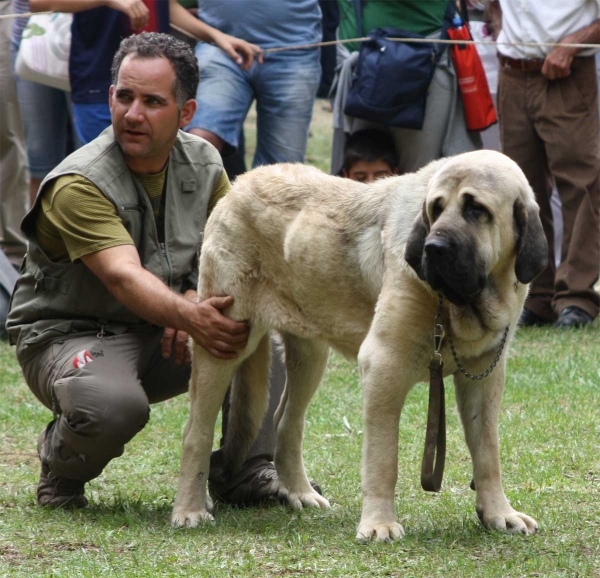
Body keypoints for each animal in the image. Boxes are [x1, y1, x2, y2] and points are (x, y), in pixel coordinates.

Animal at [171, 148, 548, 540]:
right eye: (436, 208)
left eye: (476, 210)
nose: (433, 248)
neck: (461, 306)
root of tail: (238, 185)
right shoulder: (384, 366)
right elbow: (383, 458)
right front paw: (379, 523)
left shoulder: (484, 375)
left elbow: (487, 450)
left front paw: (499, 513)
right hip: (225, 341)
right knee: (196, 431)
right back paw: (190, 509)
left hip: (310, 353)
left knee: (286, 421)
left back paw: (300, 493)